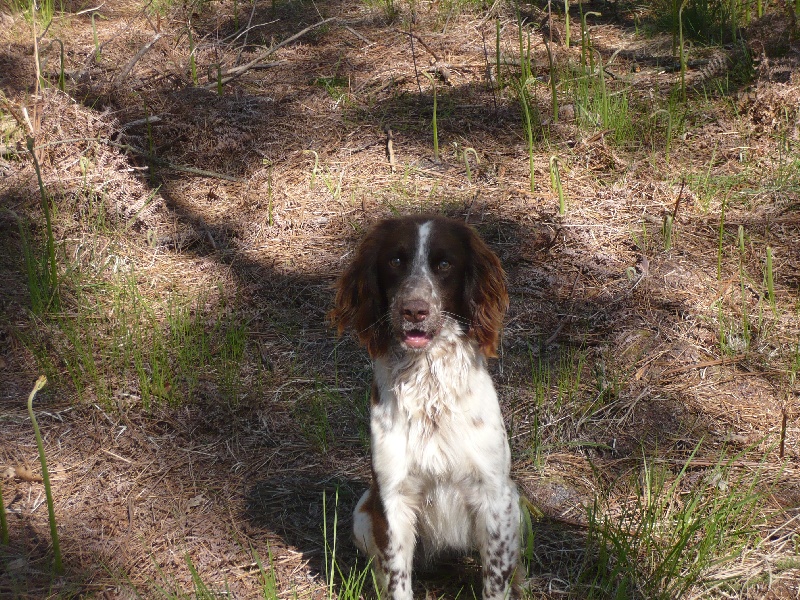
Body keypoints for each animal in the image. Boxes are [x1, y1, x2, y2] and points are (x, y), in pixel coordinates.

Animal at [330, 217, 520, 600]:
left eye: (444, 264)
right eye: (395, 261)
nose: (414, 309)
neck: (429, 386)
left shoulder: (495, 497)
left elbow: (496, 579)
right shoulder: (392, 497)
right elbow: (397, 580)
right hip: (363, 511)